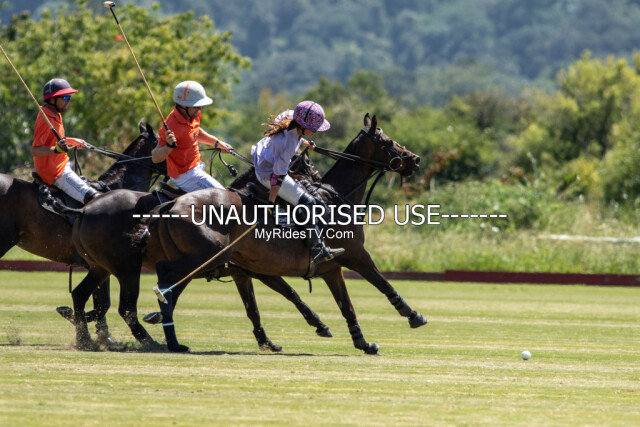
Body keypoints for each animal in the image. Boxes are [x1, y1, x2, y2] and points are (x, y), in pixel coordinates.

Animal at [67, 151, 332, 351]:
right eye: (308, 165)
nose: (321, 188)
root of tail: (85, 209)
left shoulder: (246, 271)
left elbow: (267, 303)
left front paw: (270, 341)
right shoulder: (244, 268)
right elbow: (285, 294)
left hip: (101, 267)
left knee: (81, 294)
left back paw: (85, 338)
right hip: (128, 269)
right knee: (126, 306)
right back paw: (152, 342)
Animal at [139, 113, 424, 354]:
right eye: (388, 141)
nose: (415, 159)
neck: (335, 198)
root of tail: (172, 205)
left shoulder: (327, 269)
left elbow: (345, 306)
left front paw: (362, 342)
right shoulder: (355, 255)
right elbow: (383, 283)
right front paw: (413, 315)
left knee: (172, 286)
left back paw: (164, 332)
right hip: (207, 255)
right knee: (166, 275)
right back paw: (168, 338)